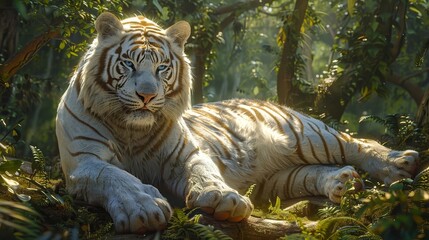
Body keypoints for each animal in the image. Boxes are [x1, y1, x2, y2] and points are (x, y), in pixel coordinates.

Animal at [55, 12, 416, 233]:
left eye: (161, 68)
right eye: (129, 64)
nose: (146, 95)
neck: (133, 127)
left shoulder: (185, 154)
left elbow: (204, 172)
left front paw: (222, 198)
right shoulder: (84, 162)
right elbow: (114, 176)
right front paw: (142, 208)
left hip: (306, 135)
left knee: (356, 143)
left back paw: (399, 163)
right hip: (276, 180)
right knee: (309, 174)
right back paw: (343, 182)